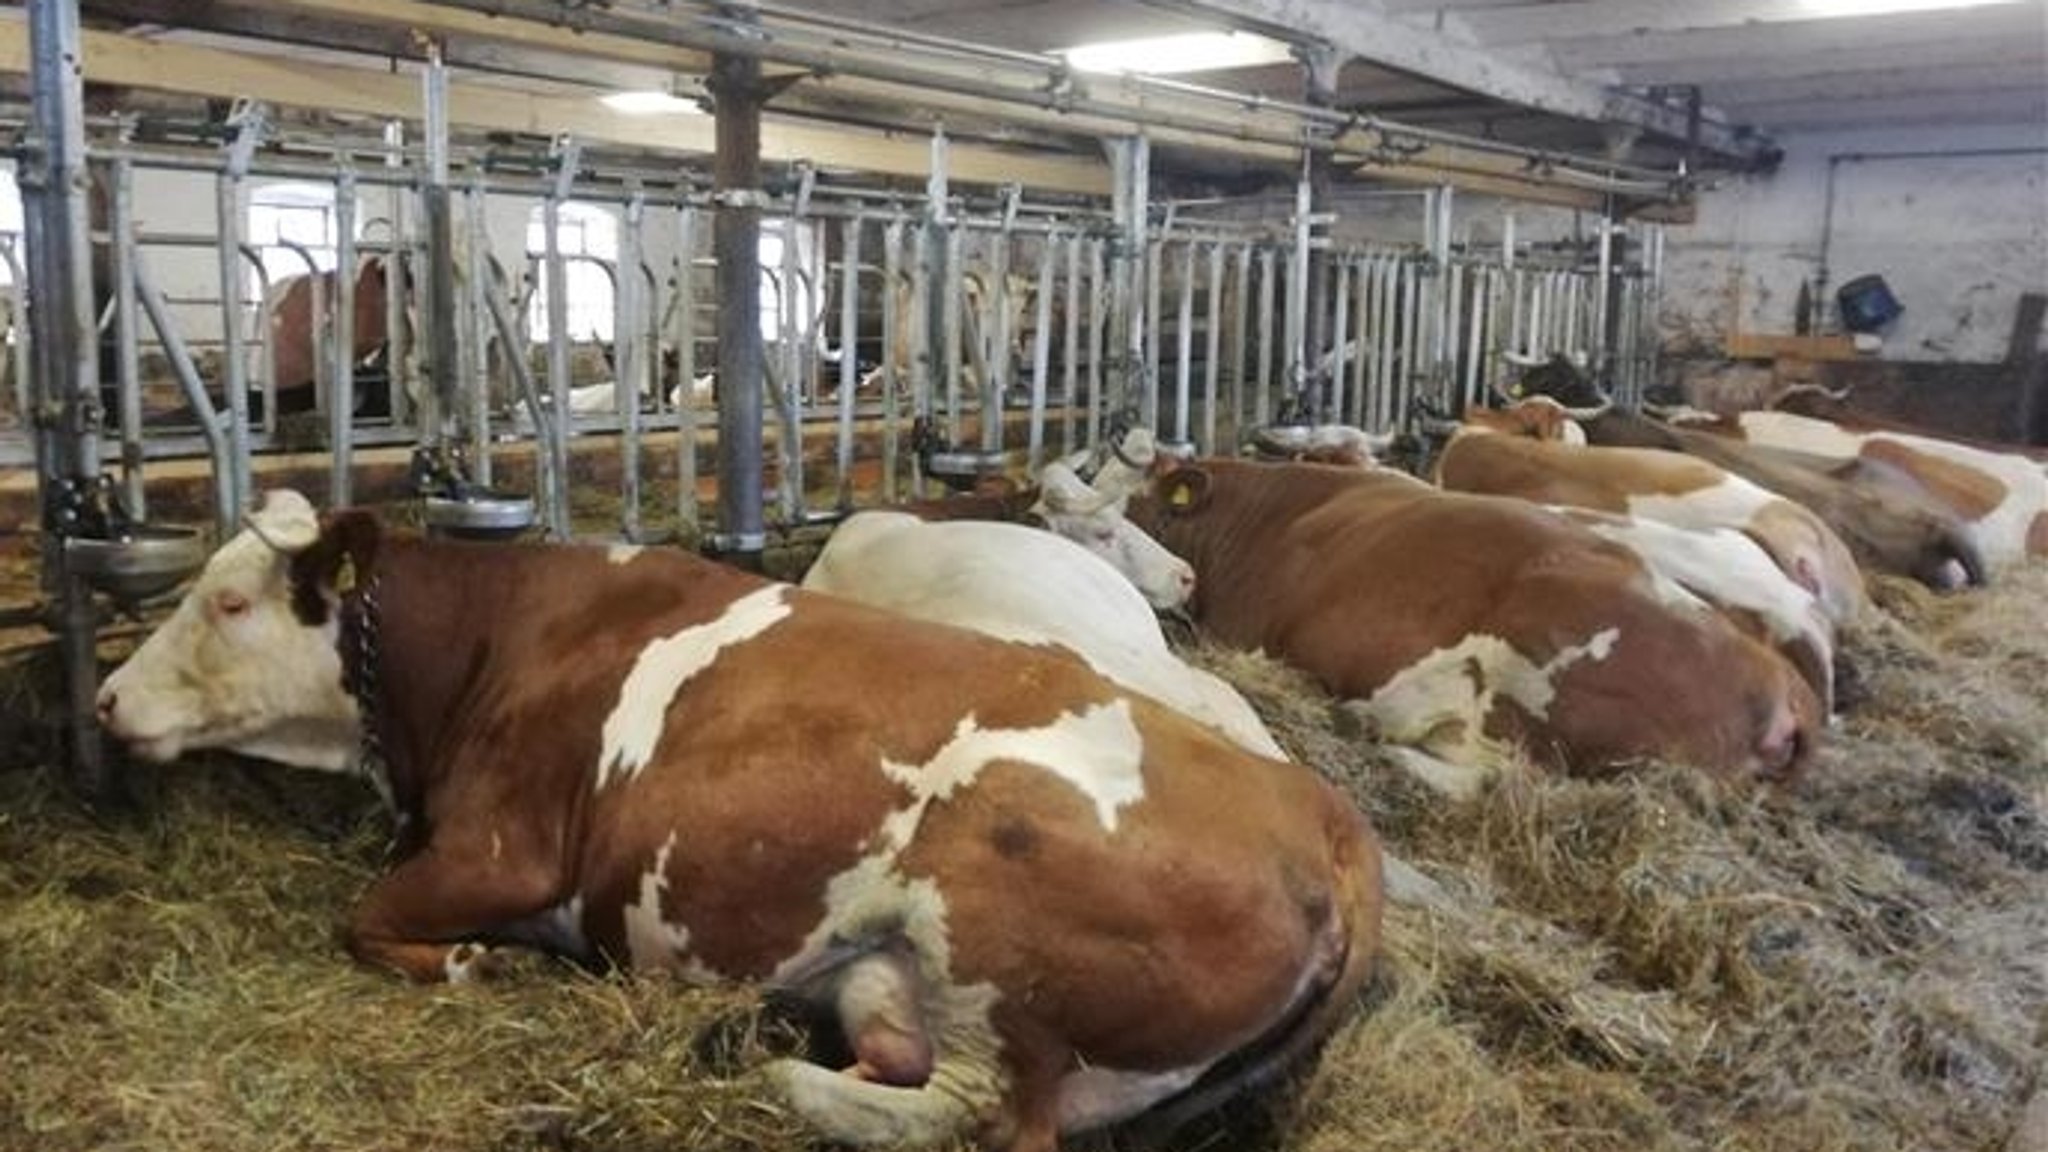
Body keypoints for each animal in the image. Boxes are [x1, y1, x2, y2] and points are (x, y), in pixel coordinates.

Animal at [92, 485, 1376, 1147]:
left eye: (228, 601)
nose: (106, 699)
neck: (491, 647)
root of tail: (1321, 812)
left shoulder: (502, 849)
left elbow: (364, 919)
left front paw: (474, 965)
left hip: (992, 939)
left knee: (968, 1115)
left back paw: (757, 1073)